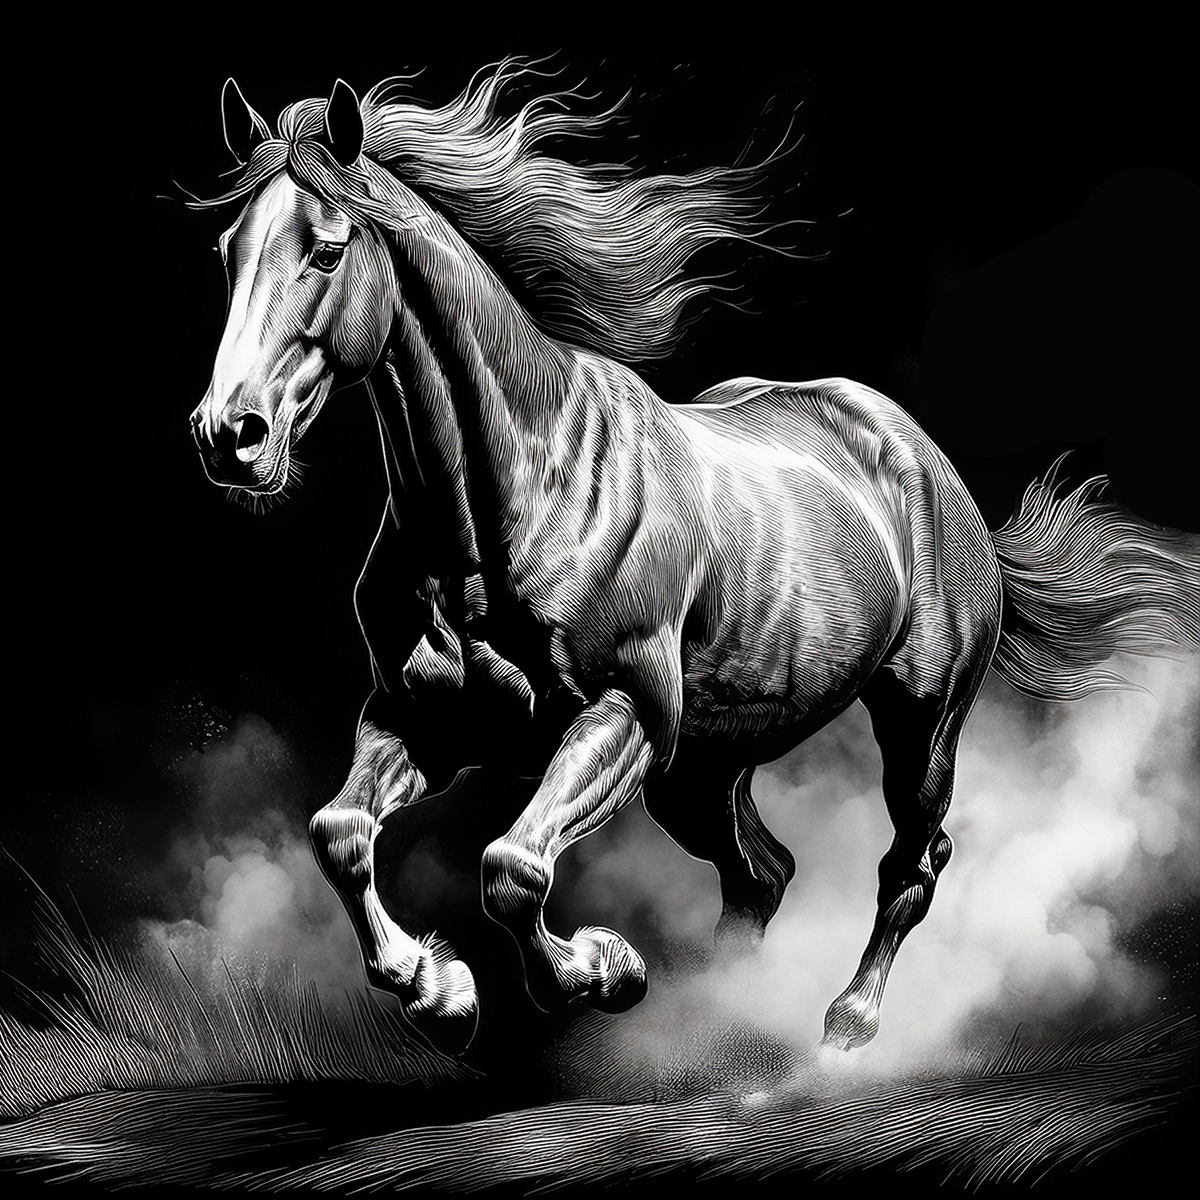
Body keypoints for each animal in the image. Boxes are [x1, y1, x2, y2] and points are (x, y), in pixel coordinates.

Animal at [189, 68, 1199, 1057]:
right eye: (229, 250)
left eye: (325, 251)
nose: (229, 436)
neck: (509, 504)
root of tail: (929, 466)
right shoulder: (424, 721)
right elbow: (340, 833)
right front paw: (437, 988)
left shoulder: (628, 714)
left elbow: (512, 868)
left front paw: (604, 971)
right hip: (705, 770)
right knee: (762, 875)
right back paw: (718, 1027)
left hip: (916, 721)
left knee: (911, 861)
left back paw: (844, 1023)